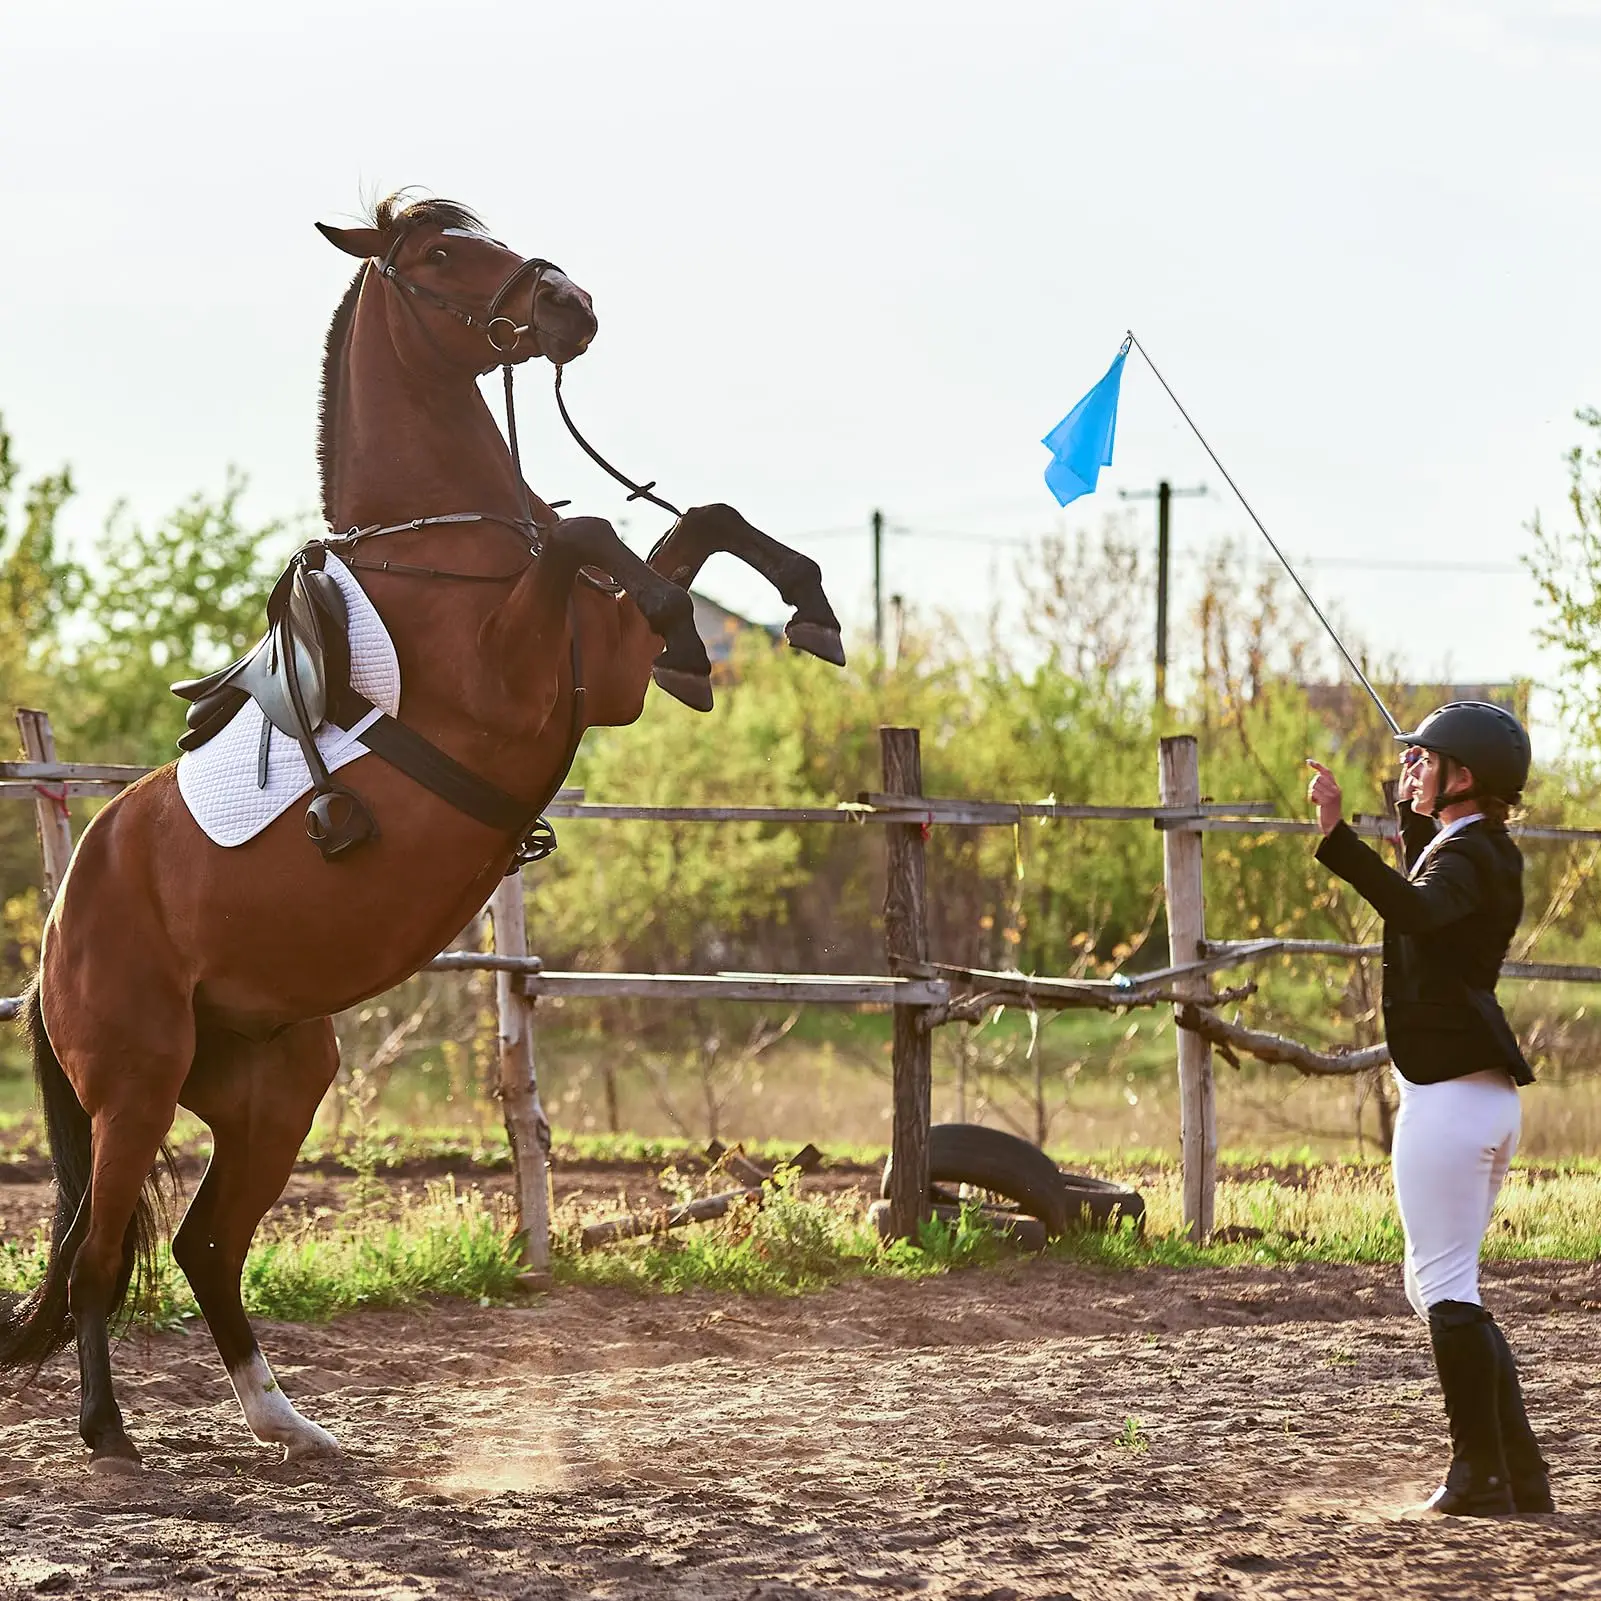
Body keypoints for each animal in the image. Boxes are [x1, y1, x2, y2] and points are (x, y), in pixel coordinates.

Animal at [0, 192, 843, 1471]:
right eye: (443, 251)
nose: (569, 305)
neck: (451, 550)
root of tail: (54, 940)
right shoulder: (519, 673)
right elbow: (591, 532)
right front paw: (691, 618)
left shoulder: (605, 676)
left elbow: (695, 519)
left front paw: (795, 606)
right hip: (135, 1087)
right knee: (101, 1251)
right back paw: (107, 1429)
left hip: (272, 1085)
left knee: (201, 1244)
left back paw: (286, 1421)